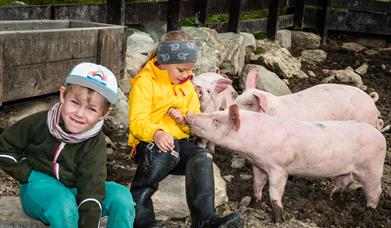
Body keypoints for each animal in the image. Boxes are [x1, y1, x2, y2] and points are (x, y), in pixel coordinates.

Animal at [187, 104, 386, 223]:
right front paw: (255, 203)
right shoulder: (258, 164)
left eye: (216, 121)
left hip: (372, 167)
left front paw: (277, 219)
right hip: (347, 168)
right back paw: (332, 196)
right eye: (214, 113)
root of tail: (380, 135)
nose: (189, 114)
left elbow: (274, 192)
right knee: (345, 180)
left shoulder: (279, 167)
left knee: (376, 191)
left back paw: (368, 212)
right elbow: (257, 184)